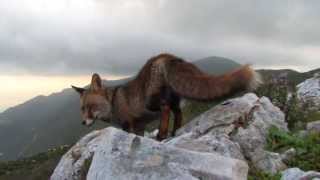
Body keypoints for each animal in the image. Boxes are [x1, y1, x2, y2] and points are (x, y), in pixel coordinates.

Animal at [71, 53, 262, 141]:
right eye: (82, 109)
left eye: (90, 107)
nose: (83, 122)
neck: (112, 103)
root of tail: (166, 56)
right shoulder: (139, 126)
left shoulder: (129, 124)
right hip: (174, 99)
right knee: (177, 113)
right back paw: (174, 132)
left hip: (153, 102)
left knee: (166, 109)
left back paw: (162, 134)